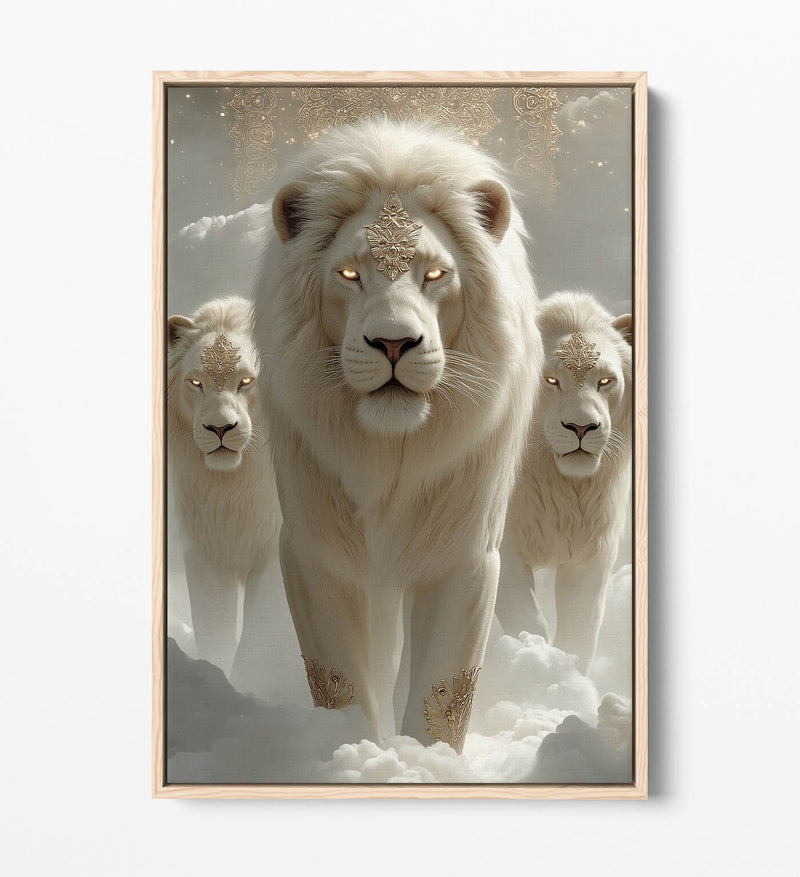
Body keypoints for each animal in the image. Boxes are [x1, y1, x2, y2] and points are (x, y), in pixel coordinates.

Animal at [167, 295, 281, 685]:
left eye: (246, 380)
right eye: (195, 382)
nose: (219, 428)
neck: (233, 487)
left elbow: (258, 635)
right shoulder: (207, 550)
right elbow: (214, 631)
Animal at [253, 120, 542, 751]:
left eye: (434, 274)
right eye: (349, 274)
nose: (392, 342)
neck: (389, 455)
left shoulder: (465, 554)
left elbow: (442, 689)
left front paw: (424, 761)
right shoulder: (313, 549)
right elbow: (339, 679)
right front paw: (348, 751)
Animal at [495, 292, 633, 675]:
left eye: (605, 381)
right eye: (551, 380)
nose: (582, 427)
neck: (562, 487)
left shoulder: (592, 553)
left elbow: (580, 630)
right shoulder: (501, 546)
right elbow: (524, 615)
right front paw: (535, 660)